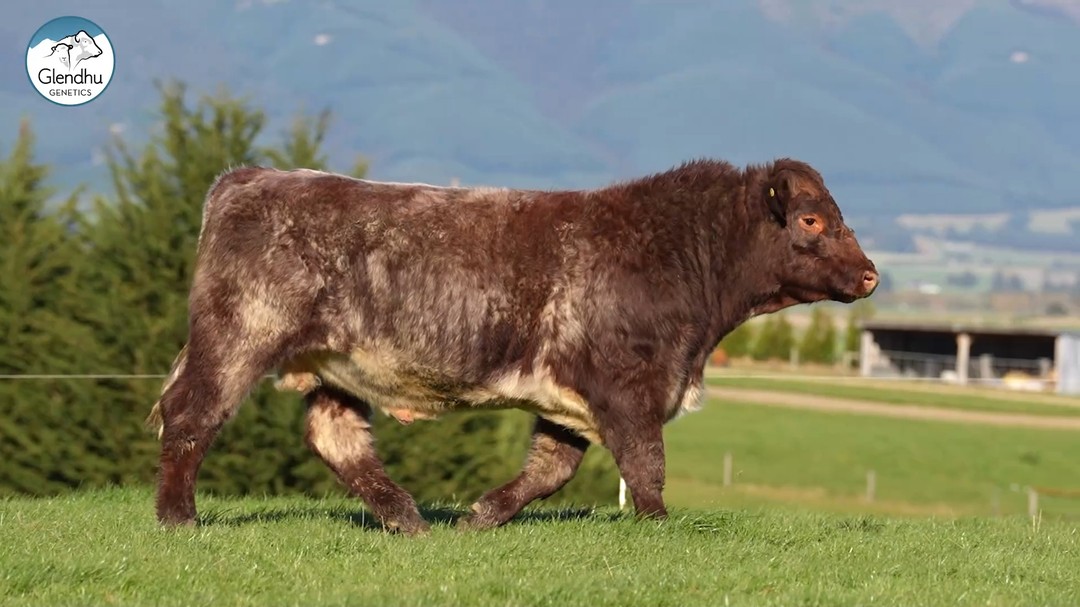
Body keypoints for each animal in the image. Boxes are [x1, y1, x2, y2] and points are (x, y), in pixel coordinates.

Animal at [146, 157, 878, 535]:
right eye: (811, 220)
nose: (871, 273)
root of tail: (252, 175)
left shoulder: (571, 400)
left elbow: (550, 470)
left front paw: (478, 518)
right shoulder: (629, 389)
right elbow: (646, 467)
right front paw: (659, 527)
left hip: (333, 366)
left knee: (336, 437)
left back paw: (407, 519)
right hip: (238, 335)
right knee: (190, 415)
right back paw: (179, 518)